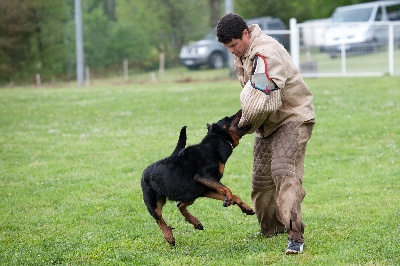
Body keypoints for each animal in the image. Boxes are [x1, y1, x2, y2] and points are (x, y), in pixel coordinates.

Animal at [141, 108, 253, 245]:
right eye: (227, 118)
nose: (242, 109)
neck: (215, 144)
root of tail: (144, 172)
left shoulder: (207, 188)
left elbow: (233, 194)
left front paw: (245, 207)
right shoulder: (203, 177)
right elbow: (228, 190)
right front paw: (229, 200)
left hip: (191, 195)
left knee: (180, 205)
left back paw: (195, 222)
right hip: (153, 203)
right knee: (159, 219)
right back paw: (169, 236)